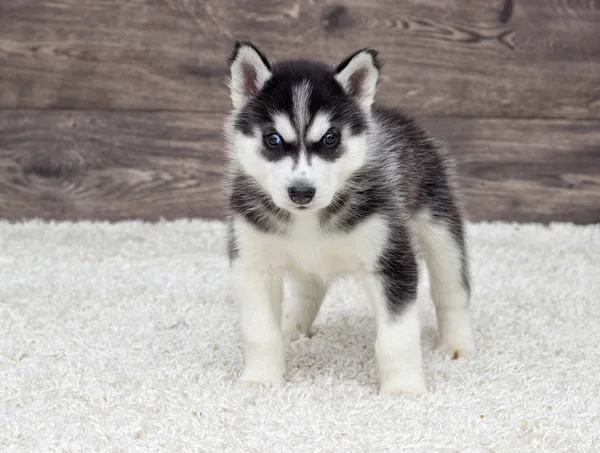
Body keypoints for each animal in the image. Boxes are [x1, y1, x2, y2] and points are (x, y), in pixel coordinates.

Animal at [224, 42, 474, 394]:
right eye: (273, 139)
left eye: (330, 138)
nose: (301, 192)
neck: (308, 220)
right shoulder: (252, 263)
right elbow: (260, 331)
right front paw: (261, 379)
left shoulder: (391, 261)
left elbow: (397, 337)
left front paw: (403, 388)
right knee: (309, 288)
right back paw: (293, 326)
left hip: (440, 230)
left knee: (451, 289)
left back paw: (457, 344)